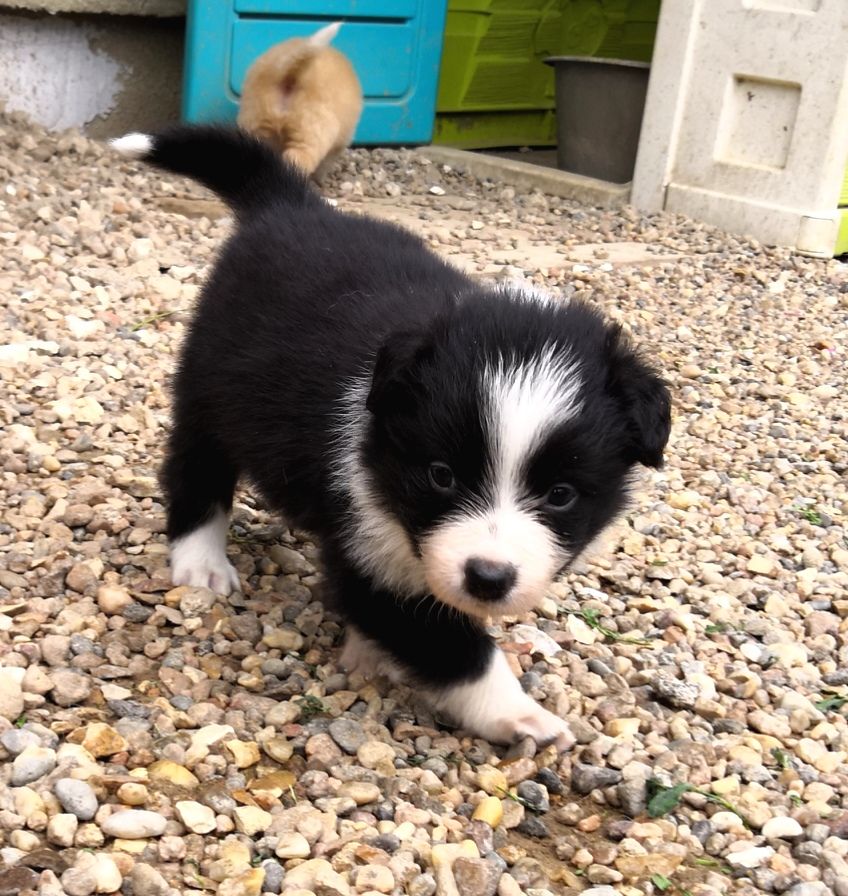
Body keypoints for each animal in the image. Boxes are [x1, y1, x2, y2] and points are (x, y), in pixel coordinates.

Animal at [111, 126, 671, 750]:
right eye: (441, 475)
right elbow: (448, 644)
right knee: (196, 469)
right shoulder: (366, 545)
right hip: (209, 388)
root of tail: (293, 206)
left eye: (561, 494)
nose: (488, 579)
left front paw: (367, 653)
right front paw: (521, 714)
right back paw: (201, 561)